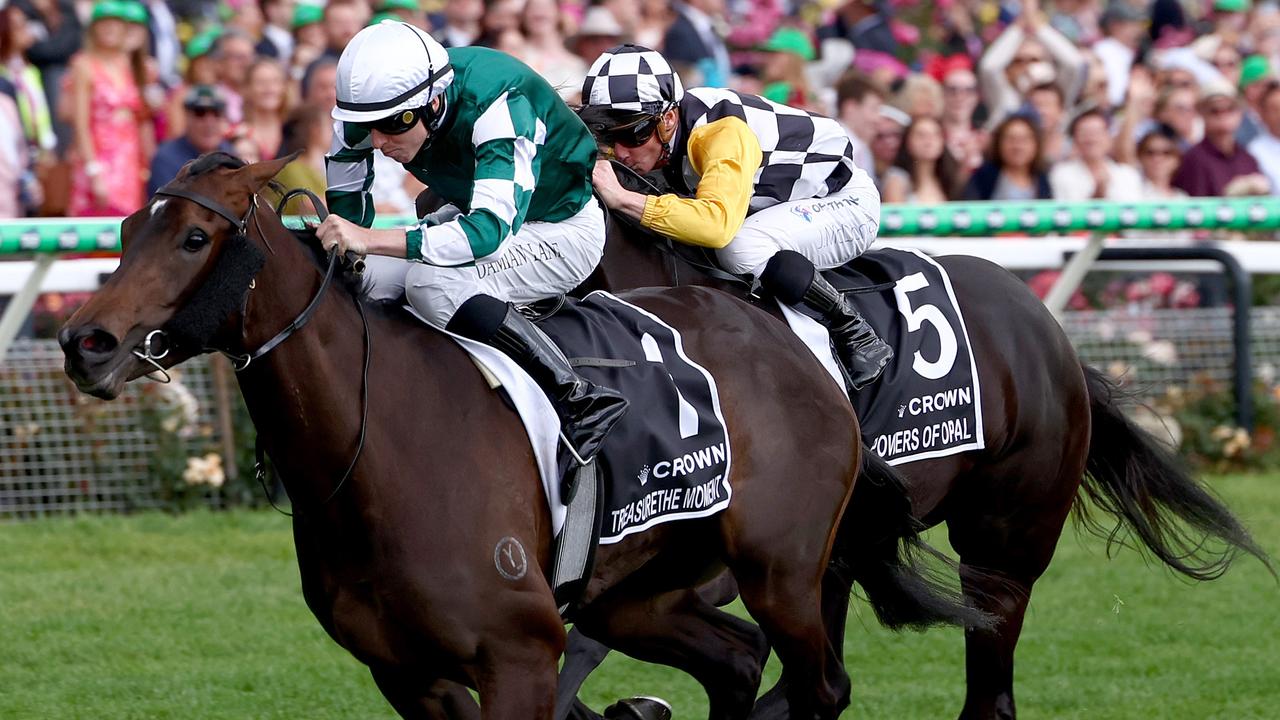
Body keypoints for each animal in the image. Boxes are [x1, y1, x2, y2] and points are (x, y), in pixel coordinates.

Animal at [57, 154, 977, 712]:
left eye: (193, 237)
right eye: (124, 231)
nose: (84, 342)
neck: (377, 448)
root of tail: (790, 340)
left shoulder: (520, 657)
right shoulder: (408, 675)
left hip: (781, 569)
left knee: (820, 685)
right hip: (639, 591)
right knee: (739, 660)